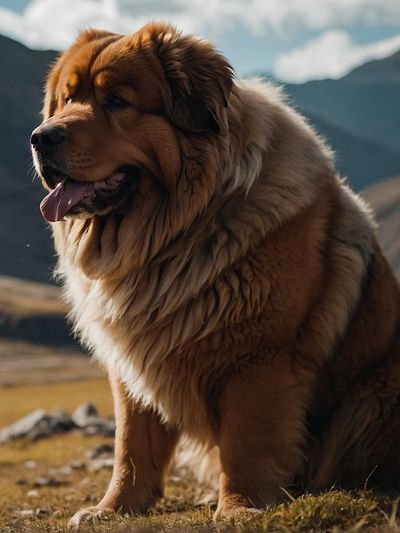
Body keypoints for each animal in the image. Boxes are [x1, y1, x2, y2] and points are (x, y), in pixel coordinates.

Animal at [30, 21, 400, 528]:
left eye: (117, 101)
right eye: (67, 99)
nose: (41, 138)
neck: (176, 233)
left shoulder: (259, 358)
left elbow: (247, 443)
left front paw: (239, 508)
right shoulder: (132, 368)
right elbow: (131, 448)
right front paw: (113, 509)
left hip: (373, 399)